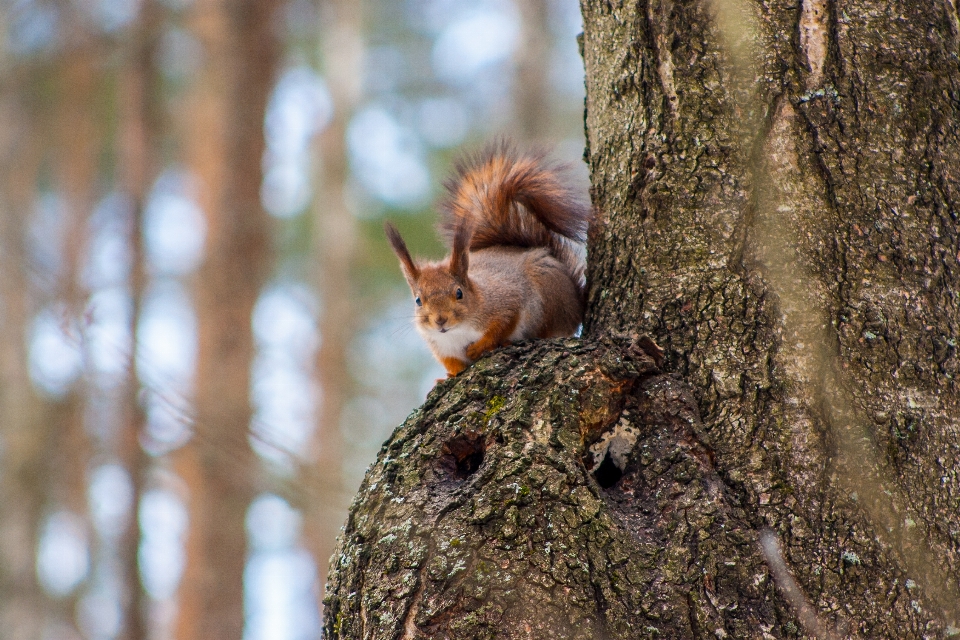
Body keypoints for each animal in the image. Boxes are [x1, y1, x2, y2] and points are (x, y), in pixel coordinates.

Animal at [386, 142, 588, 378]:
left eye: (459, 293)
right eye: (418, 300)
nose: (440, 320)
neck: (458, 331)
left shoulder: (506, 300)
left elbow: (503, 324)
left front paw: (481, 346)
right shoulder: (438, 345)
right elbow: (450, 361)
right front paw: (449, 374)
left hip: (550, 292)